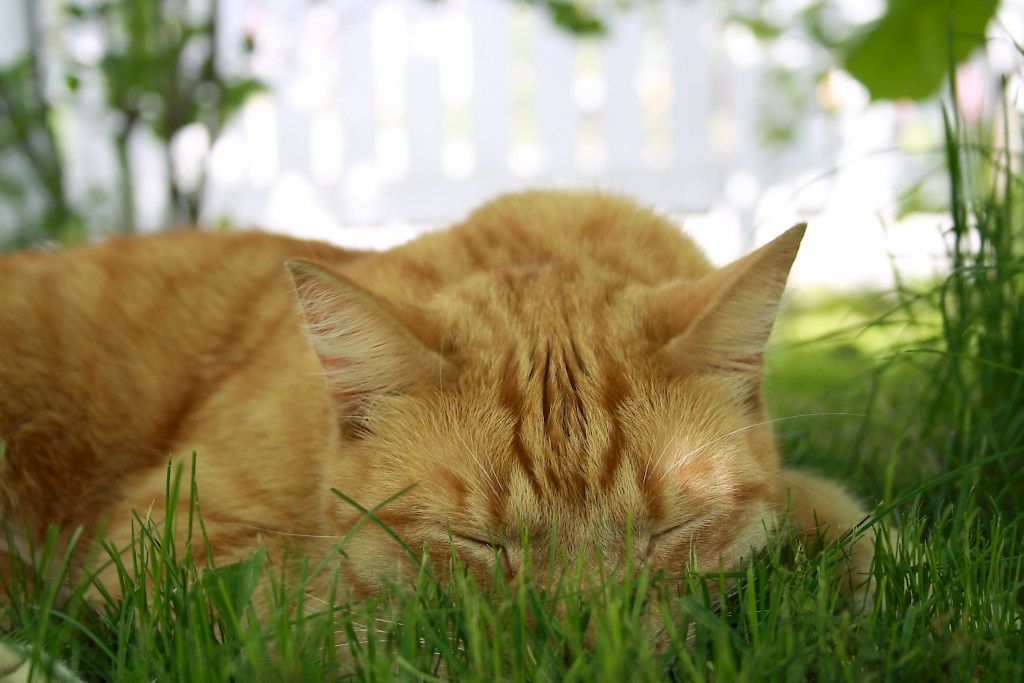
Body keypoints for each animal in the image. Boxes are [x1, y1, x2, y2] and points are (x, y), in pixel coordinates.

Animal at [0, 189, 872, 634]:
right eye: (475, 542)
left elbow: (839, 515)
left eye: (672, 531)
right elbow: (351, 612)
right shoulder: (168, 545)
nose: (583, 640)